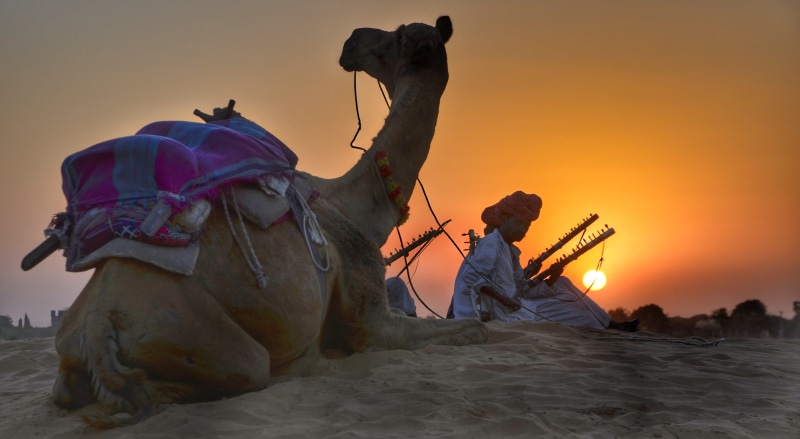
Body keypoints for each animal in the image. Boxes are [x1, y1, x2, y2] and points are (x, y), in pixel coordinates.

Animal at [49, 16, 488, 428]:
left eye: (395, 35)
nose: (352, 40)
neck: (355, 207)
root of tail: (98, 325)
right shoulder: (370, 317)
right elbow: (475, 329)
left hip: (72, 344)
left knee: (66, 394)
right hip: (203, 335)